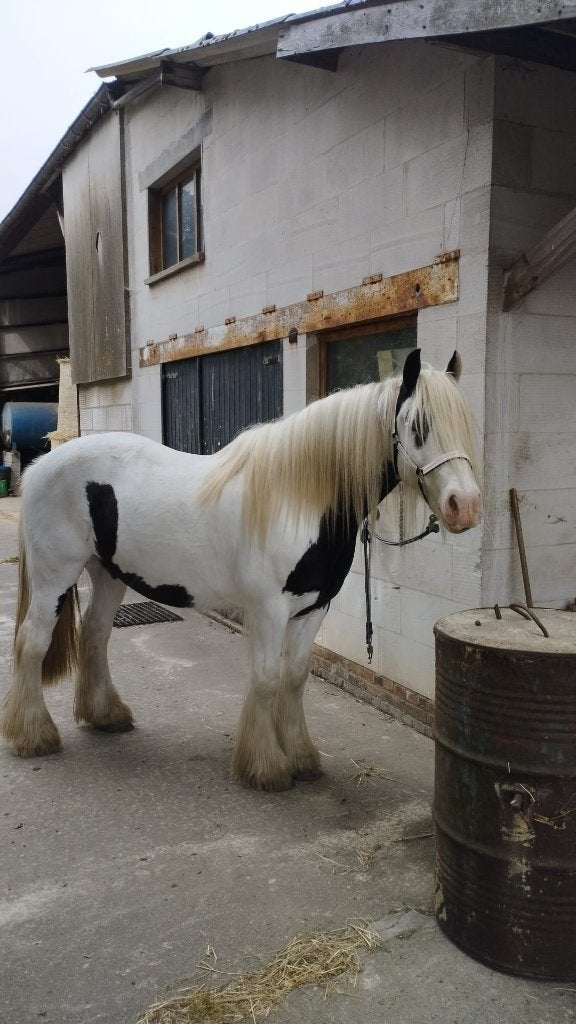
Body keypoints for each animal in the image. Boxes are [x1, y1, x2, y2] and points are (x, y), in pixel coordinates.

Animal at [1, 349, 481, 791]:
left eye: (465, 425)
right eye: (419, 426)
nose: (466, 507)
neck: (299, 500)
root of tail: (42, 465)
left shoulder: (314, 608)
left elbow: (295, 679)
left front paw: (302, 757)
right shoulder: (268, 610)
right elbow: (267, 680)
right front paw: (267, 767)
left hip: (108, 574)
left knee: (96, 634)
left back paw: (106, 715)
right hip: (55, 577)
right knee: (32, 641)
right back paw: (34, 736)